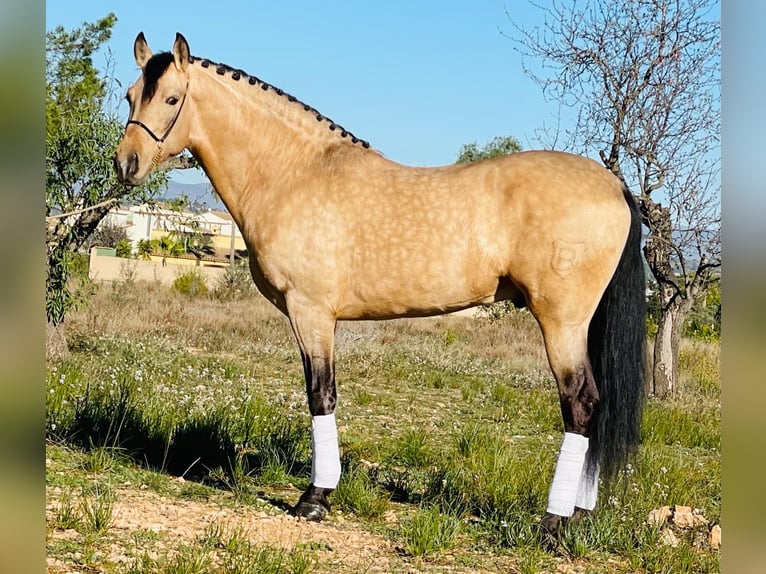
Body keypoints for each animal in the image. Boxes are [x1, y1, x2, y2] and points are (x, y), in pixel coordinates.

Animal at [114, 32, 648, 544]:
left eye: (172, 98)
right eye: (130, 95)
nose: (127, 164)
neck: (294, 173)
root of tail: (615, 186)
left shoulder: (310, 313)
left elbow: (320, 395)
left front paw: (315, 499)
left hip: (562, 321)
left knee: (580, 404)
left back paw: (552, 525)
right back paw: (579, 514)